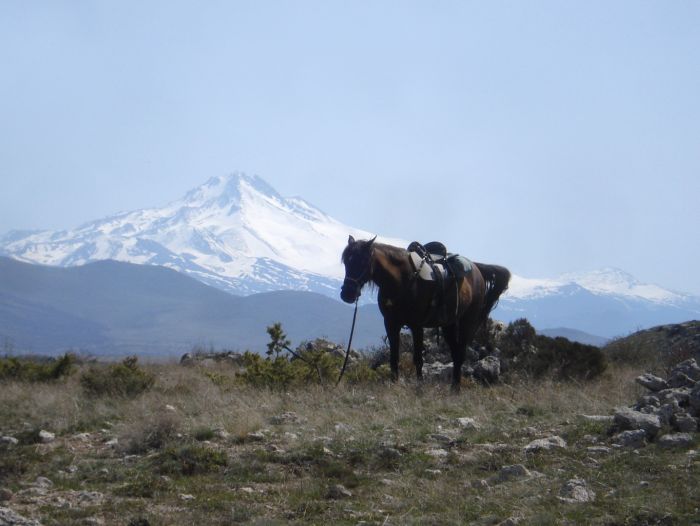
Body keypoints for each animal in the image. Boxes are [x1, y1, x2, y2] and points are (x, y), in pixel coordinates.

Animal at [342, 236, 512, 392]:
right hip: (449, 325)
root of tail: (477, 269)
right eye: (346, 262)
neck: (401, 280)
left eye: (362, 261)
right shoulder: (391, 324)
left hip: (466, 323)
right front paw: (393, 383)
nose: (347, 294)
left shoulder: (416, 326)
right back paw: (453, 387)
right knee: (456, 353)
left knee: (460, 353)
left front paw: (419, 386)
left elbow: (418, 359)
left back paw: (456, 388)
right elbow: (394, 357)